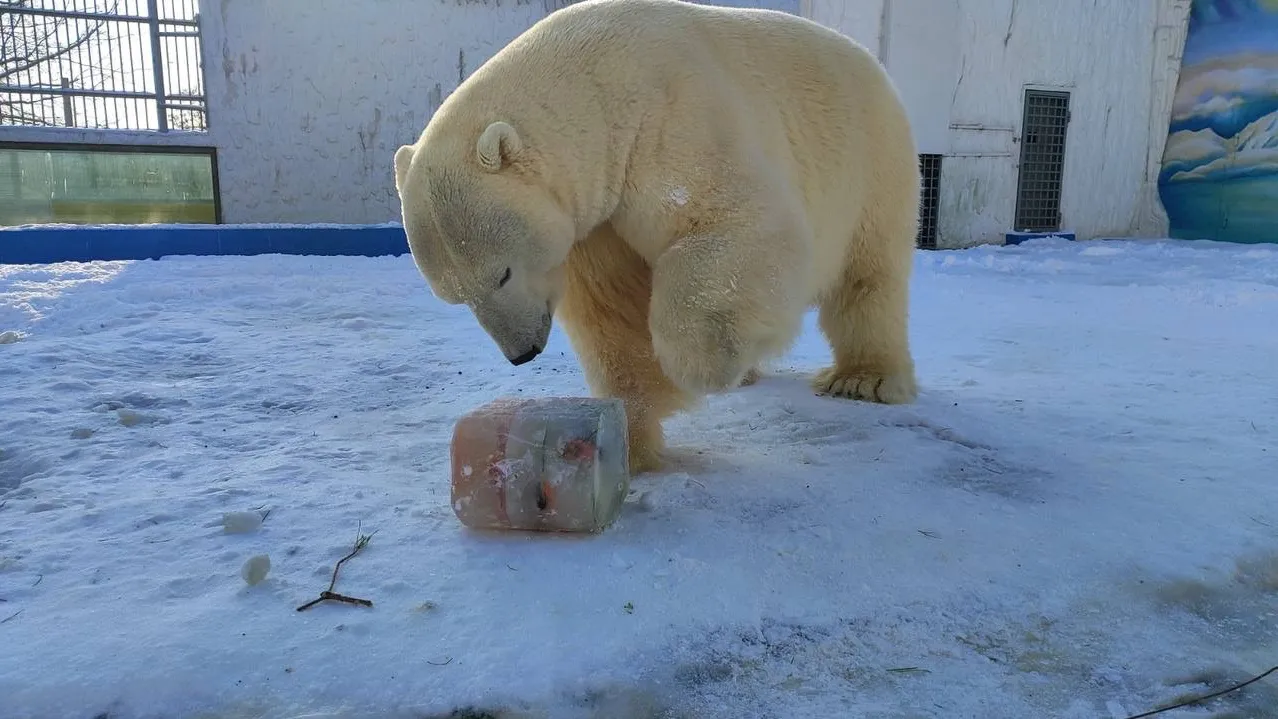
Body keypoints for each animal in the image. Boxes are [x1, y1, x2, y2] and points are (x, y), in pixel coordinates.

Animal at [393, 0, 925, 475]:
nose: (522, 353)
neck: (596, 85)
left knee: (869, 277)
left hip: (870, 161)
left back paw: (862, 379)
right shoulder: (596, 222)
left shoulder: (672, 124)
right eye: (454, 296)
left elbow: (735, 220)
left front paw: (701, 363)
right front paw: (632, 436)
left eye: (501, 274)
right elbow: (613, 310)